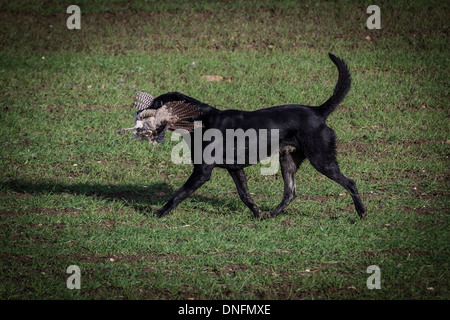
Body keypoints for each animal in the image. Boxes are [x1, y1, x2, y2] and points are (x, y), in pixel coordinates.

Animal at [146, 55, 364, 220]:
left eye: (157, 104)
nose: (140, 111)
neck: (200, 120)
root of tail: (318, 111)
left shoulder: (202, 172)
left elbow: (178, 193)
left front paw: (160, 212)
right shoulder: (236, 169)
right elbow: (245, 195)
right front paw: (257, 213)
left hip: (321, 160)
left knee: (350, 183)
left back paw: (361, 212)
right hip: (288, 161)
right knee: (290, 193)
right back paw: (272, 214)